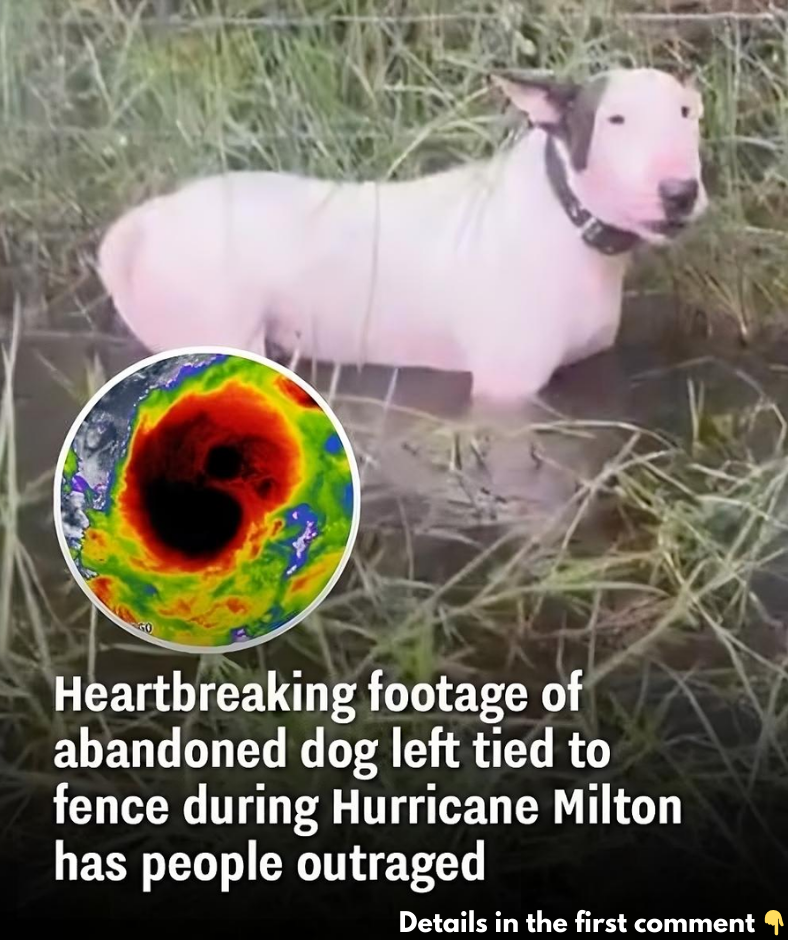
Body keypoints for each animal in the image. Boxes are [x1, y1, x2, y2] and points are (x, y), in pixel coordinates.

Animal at [97, 66, 708, 404]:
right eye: (615, 120)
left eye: (687, 113)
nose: (680, 191)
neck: (565, 218)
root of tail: (145, 221)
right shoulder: (505, 392)